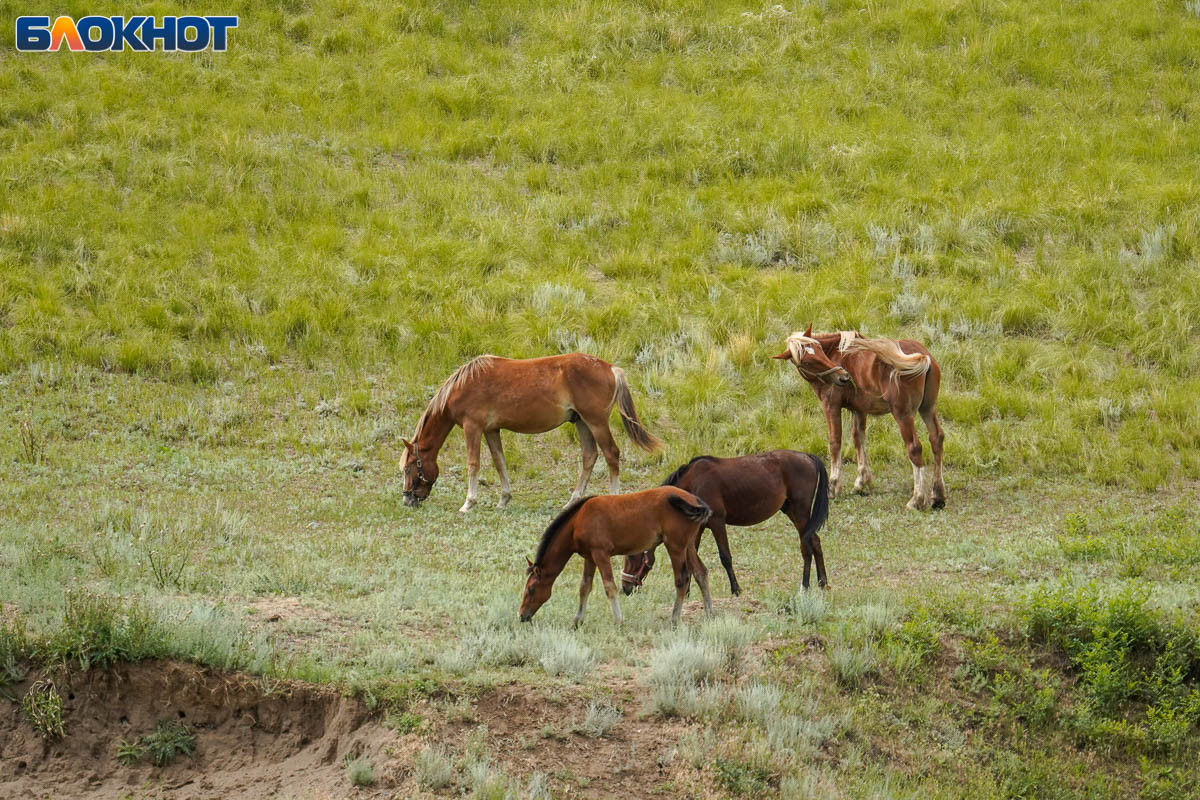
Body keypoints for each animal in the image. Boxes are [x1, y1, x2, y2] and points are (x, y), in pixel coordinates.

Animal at [403, 355, 667, 513]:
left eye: (407, 468)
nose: (407, 499)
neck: (463, 386)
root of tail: (611, 368)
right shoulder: (491, 430)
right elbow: (499, 462)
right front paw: (504, 499)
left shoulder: (473, 427)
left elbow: (473, 464)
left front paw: (469, 503)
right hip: (582, 422)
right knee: (590, 456)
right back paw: (571, 501)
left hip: (596, 422)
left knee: (611, 454)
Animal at [518, 484, 710, 628]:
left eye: (531, 589)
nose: (522, 615)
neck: (578, 521)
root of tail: (695, 500)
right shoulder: (589, 557)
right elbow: (584, 587)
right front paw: (577, 621)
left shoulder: (601, 554)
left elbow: (609, 586)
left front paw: (618, 621)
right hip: (689, 546)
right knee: (701, 573)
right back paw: (710, 613)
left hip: (676, 546)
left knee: (682, 579)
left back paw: (674, 619)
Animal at [619, 450, 825, 594]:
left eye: (632, 558)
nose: (625, 588)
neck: (693, 484)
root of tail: (806, 456)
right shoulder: (697, 529)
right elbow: (691, 559)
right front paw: (687, 591)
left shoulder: (717, 522)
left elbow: (725, 557)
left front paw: (735, 589)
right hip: (793, 512)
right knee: (815, 542)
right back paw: (822, 582)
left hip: (800, 512)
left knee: (807, 546)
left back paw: (805, 585)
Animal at [777, 326, 945, 510]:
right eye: (807, 361)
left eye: (820, 351)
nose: (843, 377)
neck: (837, 354)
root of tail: (923, 356)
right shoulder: (859, 410)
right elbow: (859, 439)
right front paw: (861, 482)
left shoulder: (830, 406)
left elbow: (835, 443)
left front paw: (833, 487)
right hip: (927, 409)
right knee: (936, 439)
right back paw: (937, 495)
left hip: (903, 415)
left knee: (914, 448)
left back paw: (917, 499)